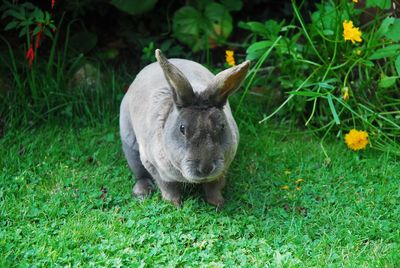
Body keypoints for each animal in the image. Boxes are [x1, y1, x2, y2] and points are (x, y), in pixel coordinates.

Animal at [119, 48, 250, 207]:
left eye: (222, 126)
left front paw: (217, 203)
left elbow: (214, 186)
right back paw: (142, 192)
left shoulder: (223, 169)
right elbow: (168, 187)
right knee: (140, 173)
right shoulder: (153, 166)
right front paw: (174, 204)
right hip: (130, 145)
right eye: (182, 129)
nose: (205, 168)